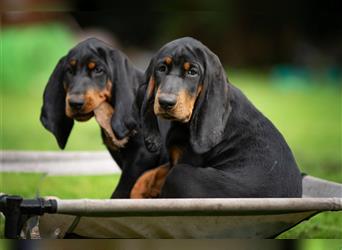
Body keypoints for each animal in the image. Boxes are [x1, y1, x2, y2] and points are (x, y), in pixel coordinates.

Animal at [131, 36, 302, 197]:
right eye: (161, 68)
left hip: (180, 175)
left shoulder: (183, 162)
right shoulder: (173, 161)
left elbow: (156, 175)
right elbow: (147, 176)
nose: (166, 102)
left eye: (192, 72)